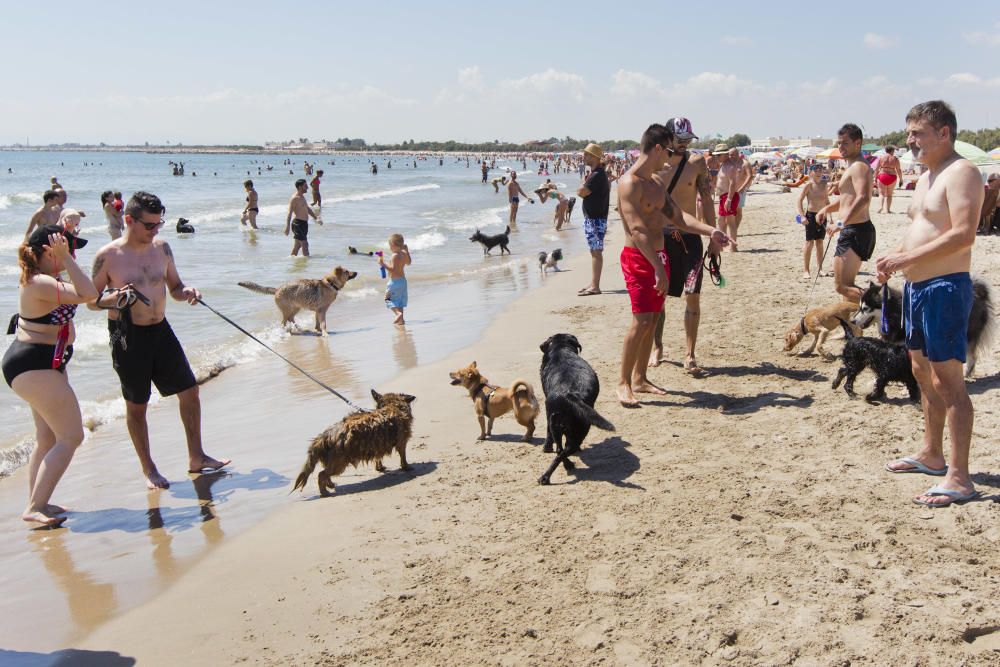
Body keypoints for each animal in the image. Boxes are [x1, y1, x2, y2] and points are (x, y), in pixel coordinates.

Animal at [540, 334, 608, 486]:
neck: (561, 348)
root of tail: (568, 394)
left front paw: (547, 447)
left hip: (556, 424)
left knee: (560, 450)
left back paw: (549, 475)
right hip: (581, 429)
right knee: (564, 450)